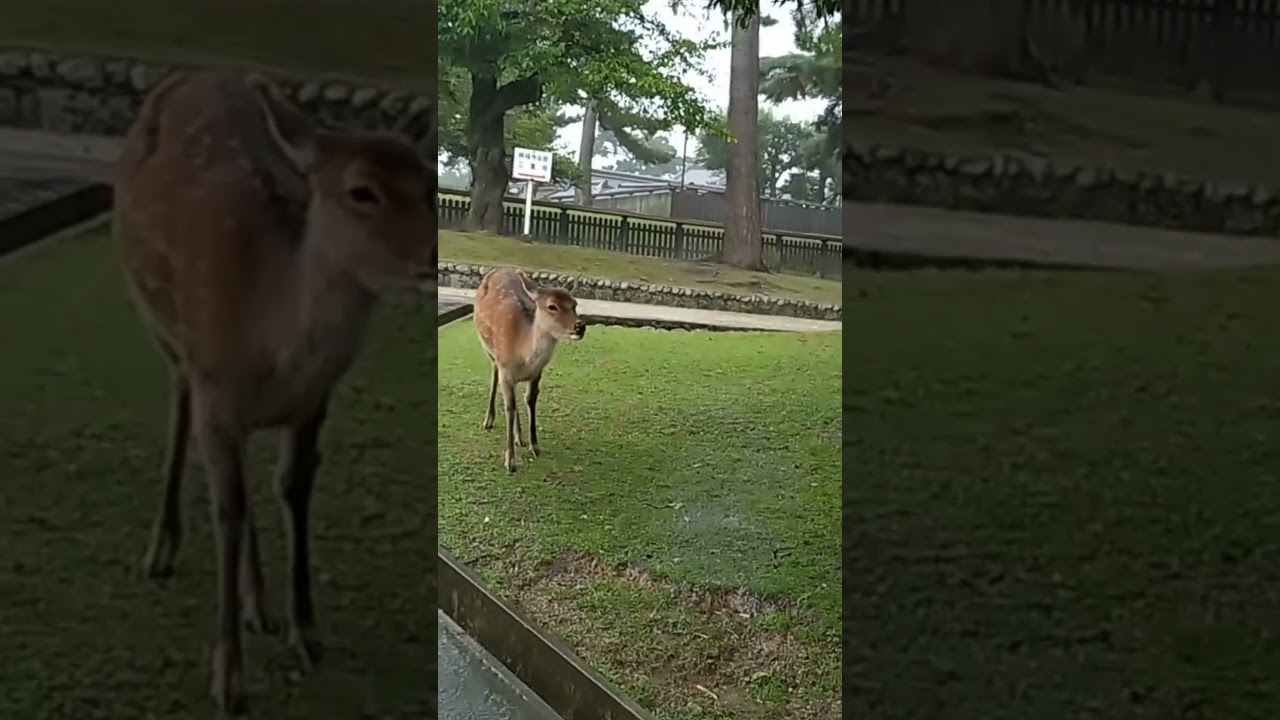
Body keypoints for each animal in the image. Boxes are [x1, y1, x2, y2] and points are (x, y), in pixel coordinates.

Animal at [112, 69, 435, 714]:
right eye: (362, 191)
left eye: (430, 187)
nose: (431, 257)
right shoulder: (214, 390)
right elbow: (228, 510)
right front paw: (229, 679)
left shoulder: (313, 404)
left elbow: (290, 489)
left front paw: (305, 631)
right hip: (159, 324)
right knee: (178, 401)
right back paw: (162, 549)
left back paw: (257, 602)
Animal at [473, 269, 586, 473]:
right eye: (552, 306)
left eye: (575, 304)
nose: (580, 326)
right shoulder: (505, 370)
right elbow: (509, 407)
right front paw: (510, 461)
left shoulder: (536, 373)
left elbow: (530, 401)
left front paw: (535, 446)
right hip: (488, 348)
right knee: (494, 373)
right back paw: (489, 420)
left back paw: (520, 437)